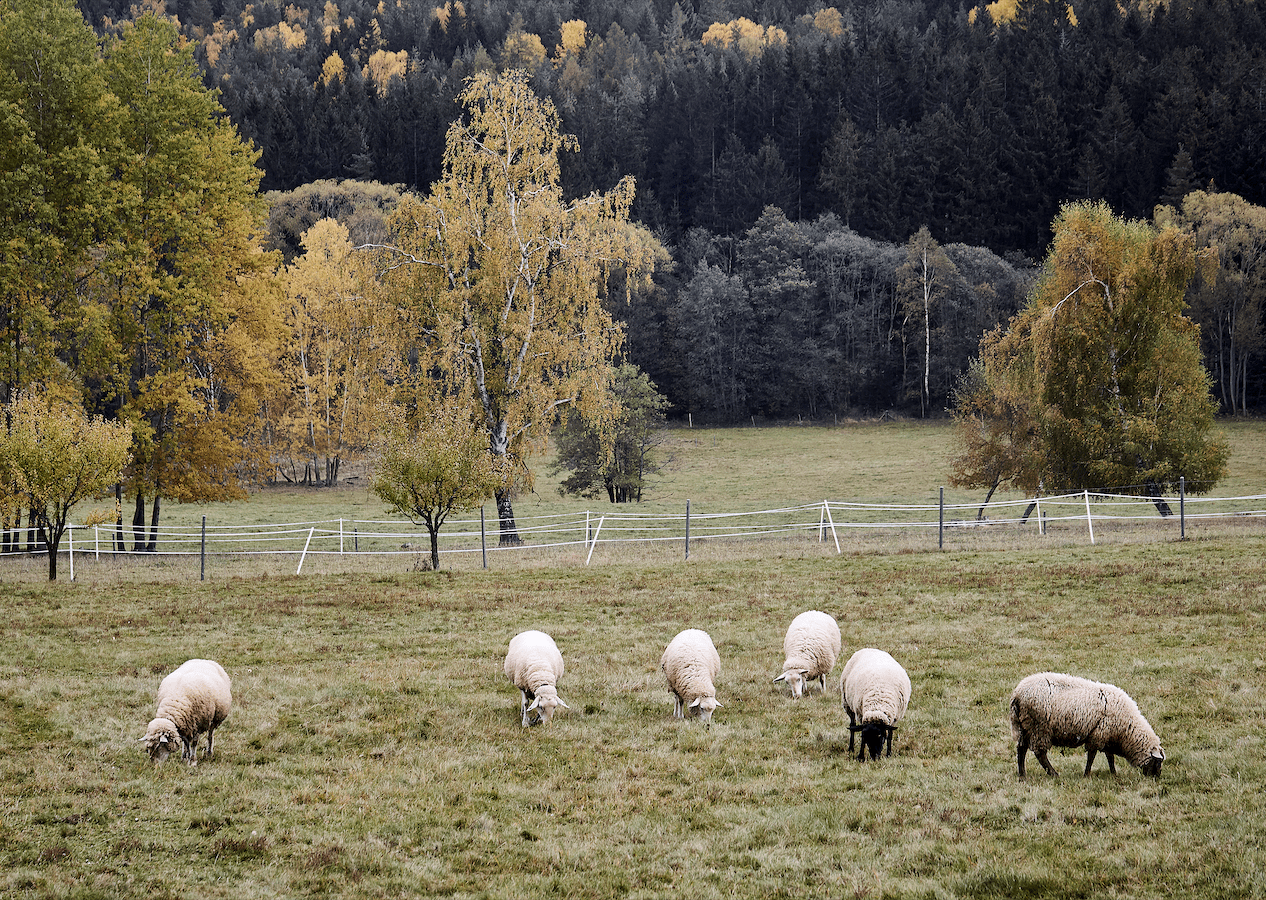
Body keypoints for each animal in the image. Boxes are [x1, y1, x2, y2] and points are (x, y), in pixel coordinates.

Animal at [1007, 673, 1164, 779]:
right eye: (1158, 762)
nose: (1157, 778)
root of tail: (1017, 695)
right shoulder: (1099, 734)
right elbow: (1092, 756)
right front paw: (1087, 775)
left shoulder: (1107, 736)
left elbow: (1110, 757)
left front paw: (1113, 773)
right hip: (1039, 728)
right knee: (1040, 753)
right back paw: (1054, 774)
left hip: (1025, 727)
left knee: (1021, 749)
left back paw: (1022, 775)